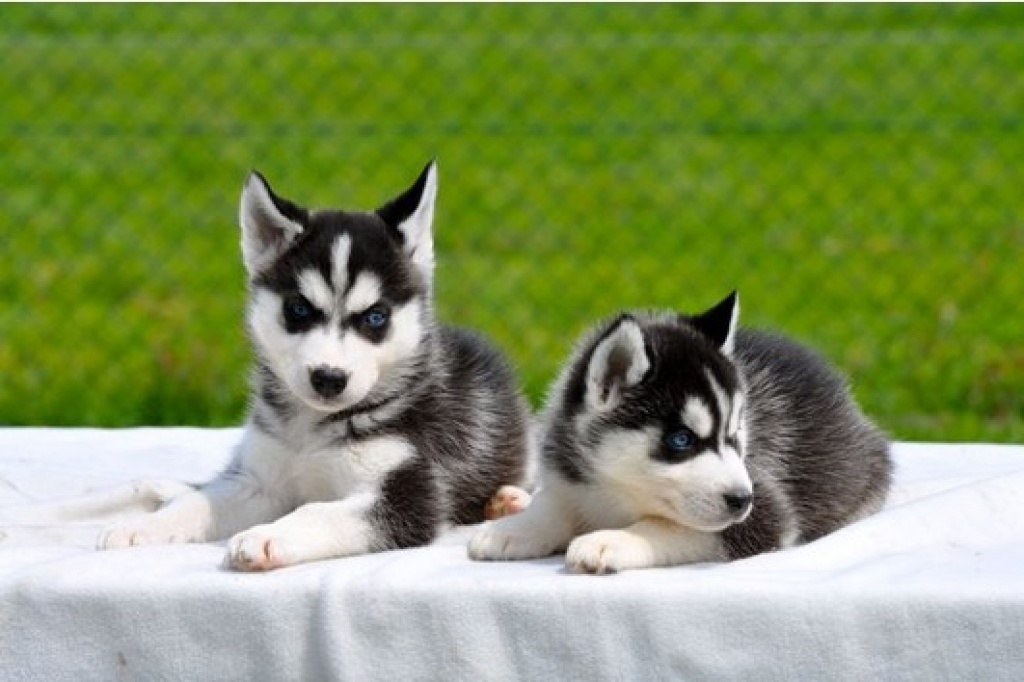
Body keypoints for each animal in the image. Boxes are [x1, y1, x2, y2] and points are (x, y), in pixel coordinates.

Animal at [29, 159, 528, 569]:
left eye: (375, 317)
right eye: (299, 309)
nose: (329, 378)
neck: (313, 428)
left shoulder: (409, 493)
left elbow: (316, 511)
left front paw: (266, 537)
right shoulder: (259, 481)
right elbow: (195, 502)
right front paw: (142, 526)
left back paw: (509, 503)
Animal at [468, 288, 892, 569]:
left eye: (734, 436)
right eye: (681, 440)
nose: (743, 500)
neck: (615, 493)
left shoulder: (766, 515)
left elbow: (665, 526)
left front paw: (614, 540)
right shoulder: (569, 479)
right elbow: (554, 505)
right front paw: (514, 528)